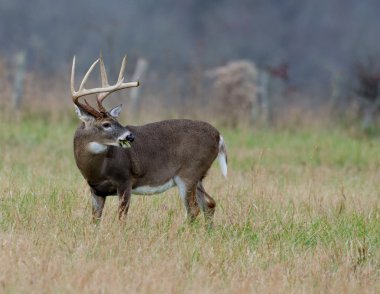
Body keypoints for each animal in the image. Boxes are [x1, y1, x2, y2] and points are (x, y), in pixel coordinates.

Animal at [70, 54, 227, 225]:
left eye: (117, 120)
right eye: (106, 124)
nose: (130, 136)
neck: (98, 169)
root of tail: (218, 136)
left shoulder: (125, 180)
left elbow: (122, 218)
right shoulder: (96, 190)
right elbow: (95, 220)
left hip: (189, 172)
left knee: (193, 209)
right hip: (198, 177)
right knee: (209, 203)